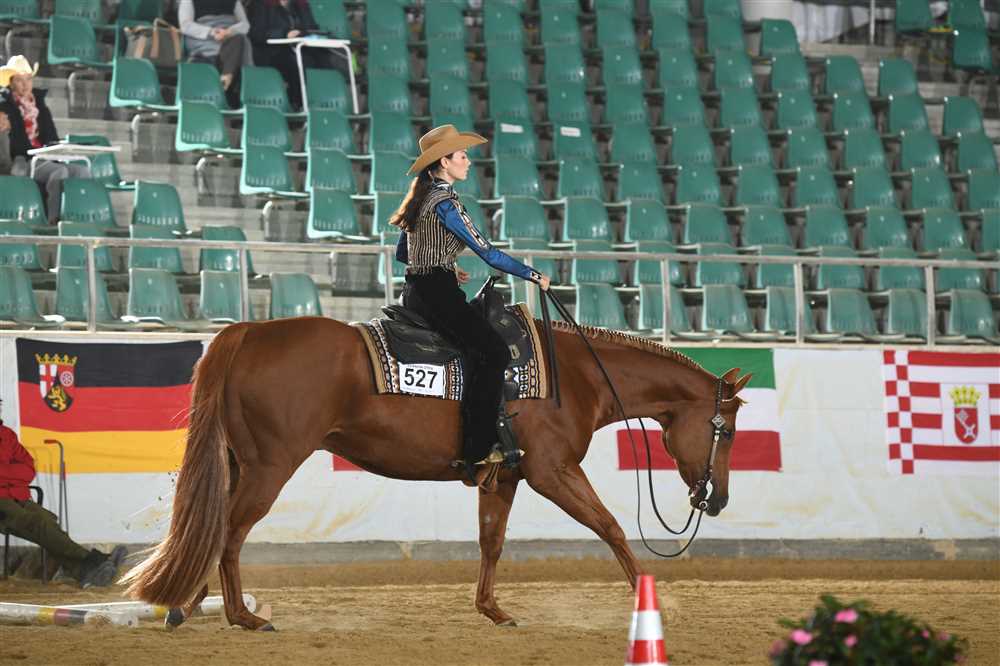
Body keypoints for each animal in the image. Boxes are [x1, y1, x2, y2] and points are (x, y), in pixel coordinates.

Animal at [120, 315, 751, 630]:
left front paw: (493, 610)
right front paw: (656, 602)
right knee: (228, 532)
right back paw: (240, 615)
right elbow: (612, 526)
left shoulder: (505, 477)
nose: (717, 499)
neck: (576, 376)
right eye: (726, 430)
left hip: (238, 462)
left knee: (208, 529)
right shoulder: (553, 471)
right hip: (269, 466)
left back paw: (186, 606)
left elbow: (491, 541)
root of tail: (244, 332)